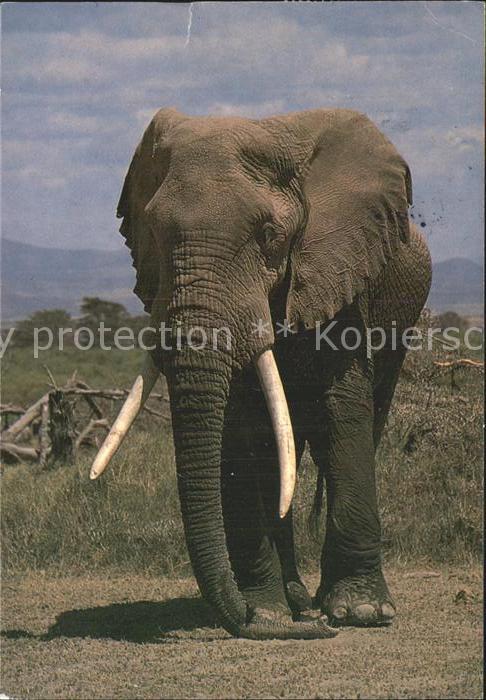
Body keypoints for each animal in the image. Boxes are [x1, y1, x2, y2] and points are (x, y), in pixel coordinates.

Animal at [90, 107, 432, 640]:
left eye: (270, 237)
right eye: (155, 236)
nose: (320, 631)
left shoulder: (340, 274)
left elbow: (342, 410)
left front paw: (360, 613)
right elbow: (239, 428)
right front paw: (268, 613)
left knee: (358, 428)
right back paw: (295, 601)